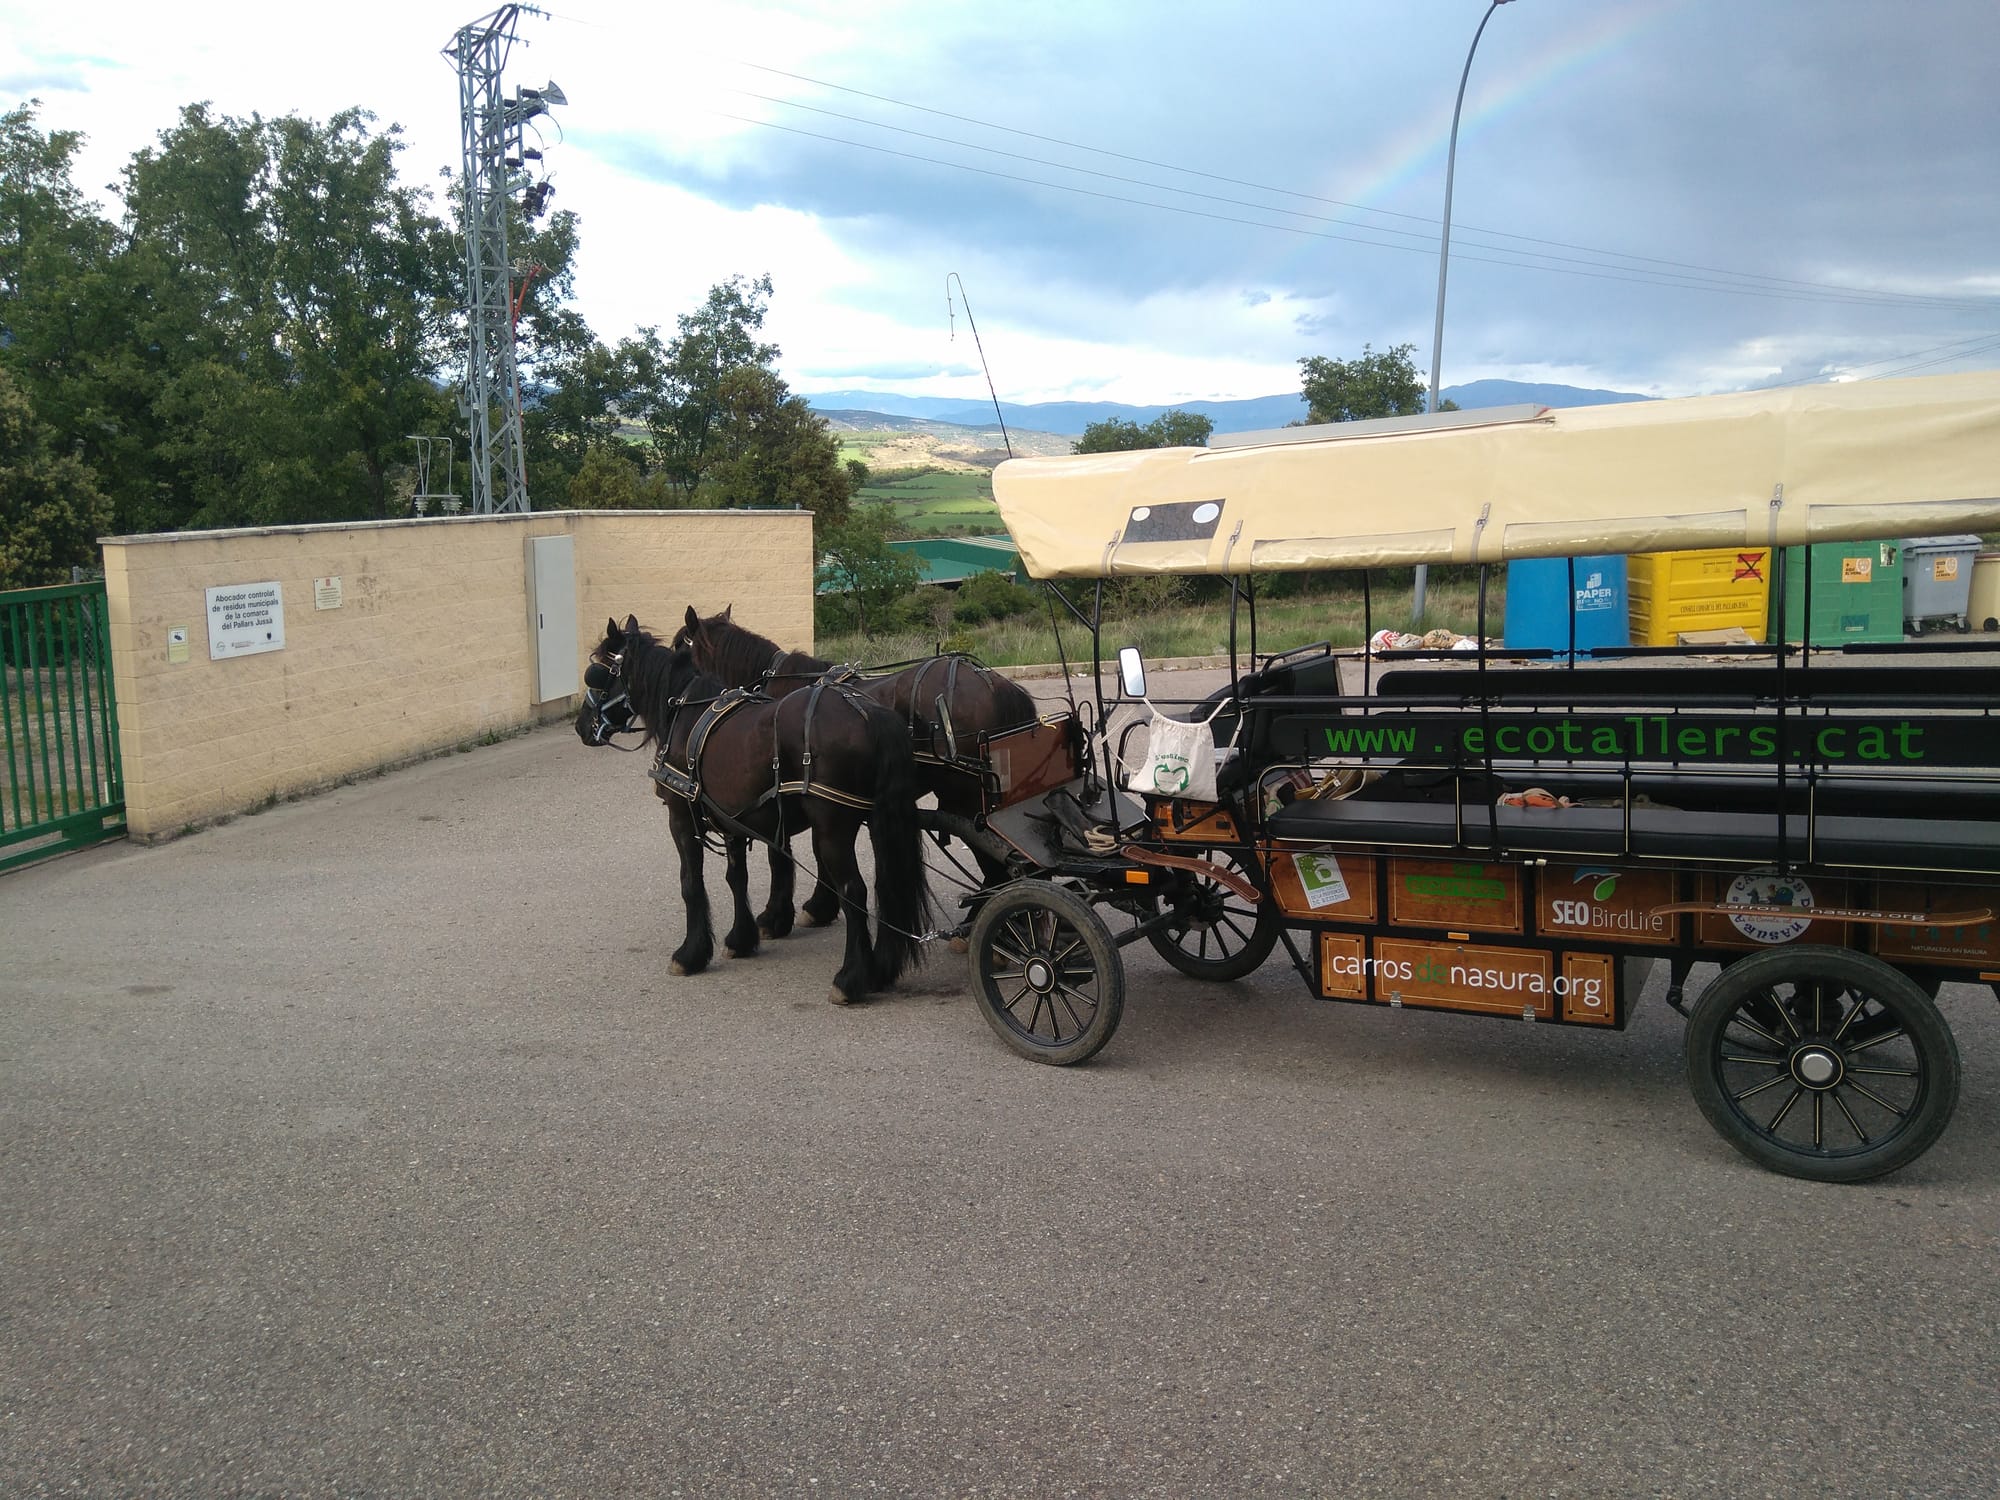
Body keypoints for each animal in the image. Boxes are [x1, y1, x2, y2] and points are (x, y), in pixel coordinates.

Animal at [572, 616, 928, 1004]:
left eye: (595, 671)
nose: (580, 725)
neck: (685, 712)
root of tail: (868, 712)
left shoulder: (680, 818)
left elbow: (691, 883)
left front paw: (691, 954)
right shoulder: (732, 818)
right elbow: (736, 877)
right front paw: (742, 938)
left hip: (833, 825)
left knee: (854, 892)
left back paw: (851, 978)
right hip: (878, 821)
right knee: (887, 886)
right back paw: (881, 969)